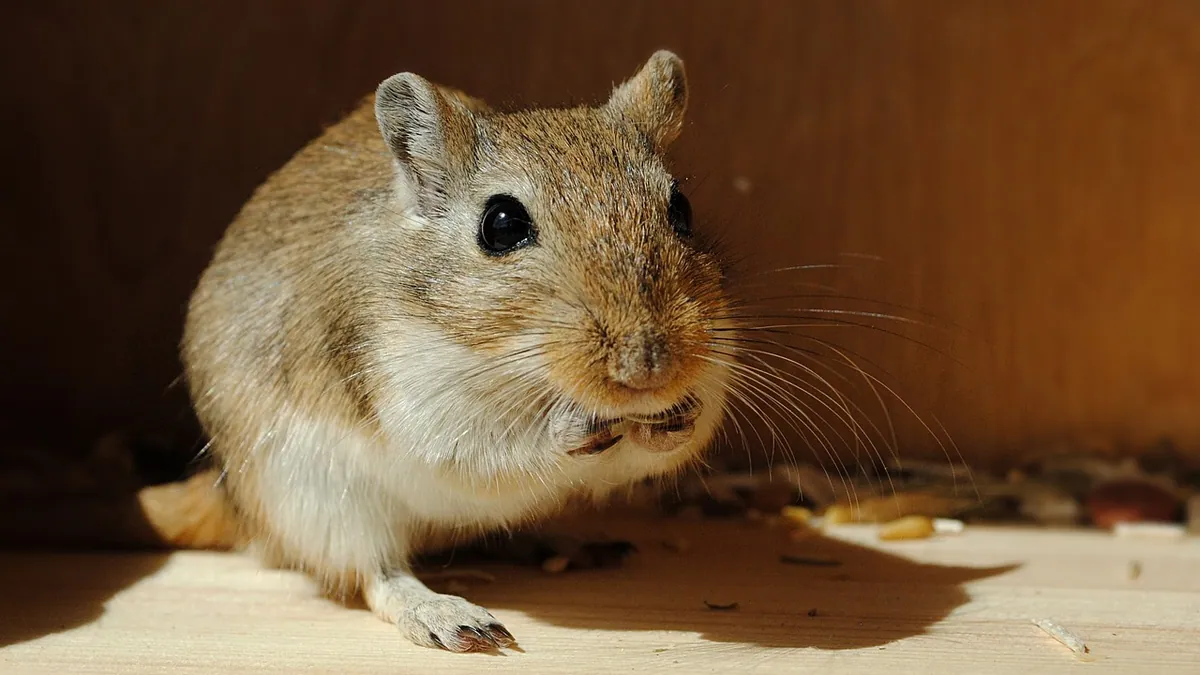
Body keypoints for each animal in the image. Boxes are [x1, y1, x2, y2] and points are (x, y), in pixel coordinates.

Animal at [181, 50, 737, 652]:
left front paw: (679, 417)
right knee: (377, 575)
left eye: (681, 209)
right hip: (317, 499)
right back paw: (454, 619)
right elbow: (497, 450)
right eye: (502, 225)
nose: (650, 370)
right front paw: (575, 424)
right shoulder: (427, 411)